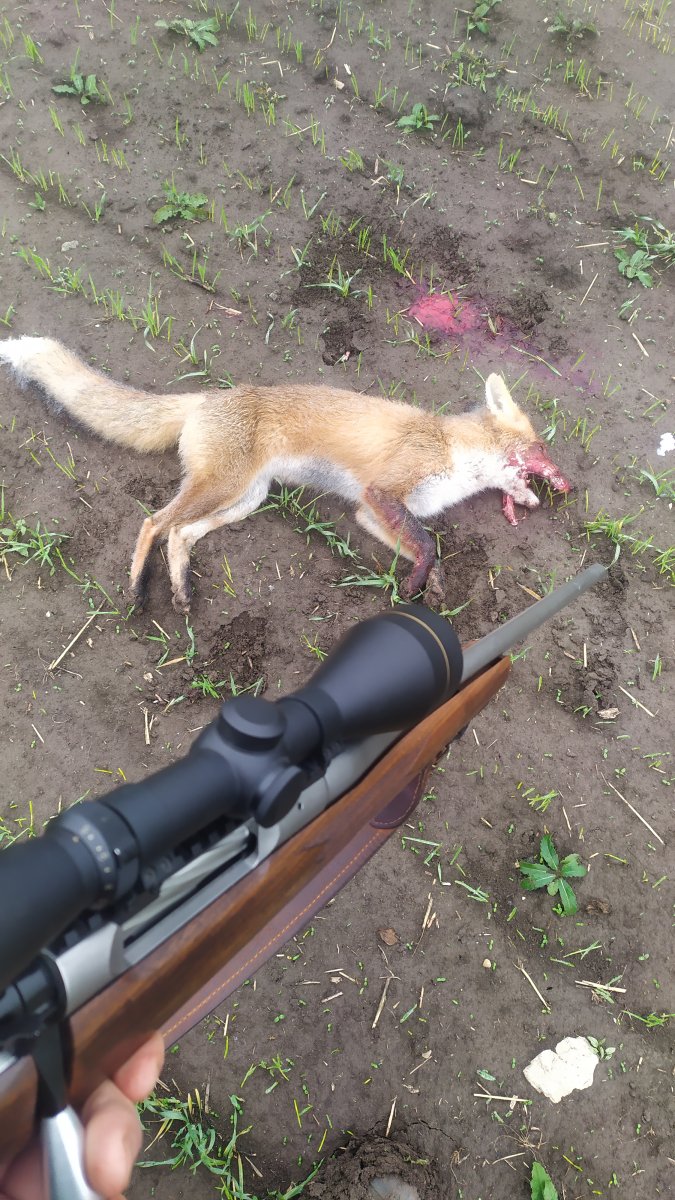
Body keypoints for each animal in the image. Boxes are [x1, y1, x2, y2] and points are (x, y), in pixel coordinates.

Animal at [0, 336, 570, 612]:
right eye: (542, 447)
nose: (567, 482)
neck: (453, 453)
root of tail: (208, 397)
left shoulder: (371, 514)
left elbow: (428, 552)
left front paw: (431, 588)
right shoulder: (383, 491)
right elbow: (429, 544)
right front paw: (417, 585)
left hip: (245, 498)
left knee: (179, 534)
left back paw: (181, 594)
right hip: (222, 487)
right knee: (153, 523)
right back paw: (139, 591)